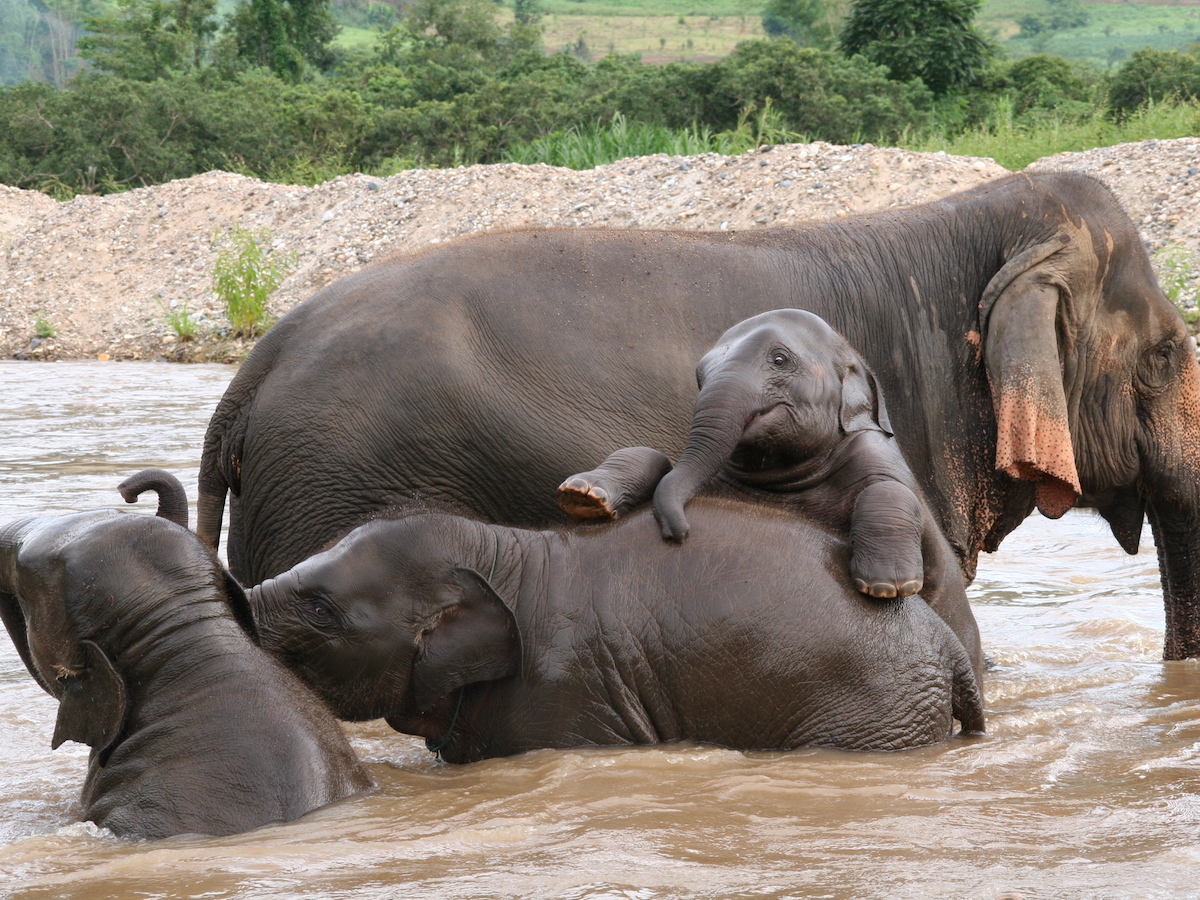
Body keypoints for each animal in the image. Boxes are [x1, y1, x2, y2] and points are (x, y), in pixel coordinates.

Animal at [555, 308, 982, 679]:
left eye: (779, 359)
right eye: (699, 375)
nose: (676, 532)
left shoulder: (877, 457)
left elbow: (889, 490)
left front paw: (887, 586)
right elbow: (658, 459)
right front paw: (584, 497)